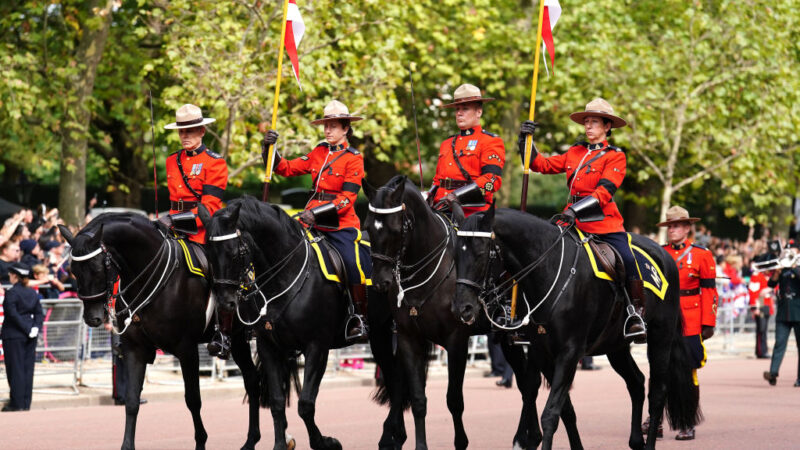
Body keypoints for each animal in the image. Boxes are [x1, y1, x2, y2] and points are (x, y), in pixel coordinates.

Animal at [60, 216, 266, 448]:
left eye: (96, 268)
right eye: (73, 270)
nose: (91, 318)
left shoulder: (187, 350)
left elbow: (193, 399)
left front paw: (201, 441)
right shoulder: (135, 349)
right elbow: (132, 400)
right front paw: (127, 445)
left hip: (240, 338)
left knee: (253, 380)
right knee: (252, 380)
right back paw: (251, 439)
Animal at [202, 197, 398, 450]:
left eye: (236, 252)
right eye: (208, 252)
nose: (226, 303)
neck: (284, 275)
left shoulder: (317, 347)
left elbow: (305, 403)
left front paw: (325, 442)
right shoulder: (269, 347)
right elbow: (277, 402)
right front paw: (280, 445)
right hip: (380, 337)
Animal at [364, 177, 580, 450]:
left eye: (394, 229)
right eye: (368, 227)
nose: (380, 282)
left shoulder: (456, 340)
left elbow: (454, 400)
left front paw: (460, 442)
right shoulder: (407, 338)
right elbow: (417, 398)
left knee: (535, 387)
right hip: (510, 339)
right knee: (526, 385)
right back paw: (527, 437)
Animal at [456, 208, 700, 450]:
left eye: (480, 253)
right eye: (457, 252)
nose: (464, 307)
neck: (549, 269)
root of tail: (664, 253)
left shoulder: (569, 352)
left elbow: (551, 413)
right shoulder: (541, 352)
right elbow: (561, 407)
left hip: (661, 336)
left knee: (657, 393)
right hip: (615, 346)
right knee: (637, 382)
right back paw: (636, 440)